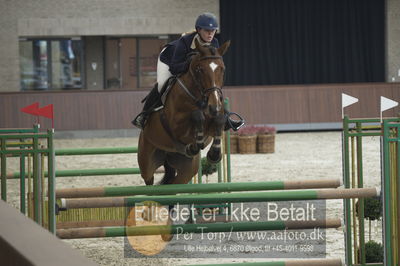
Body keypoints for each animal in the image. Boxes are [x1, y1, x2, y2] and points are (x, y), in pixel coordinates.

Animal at [138, 39, 230, 187]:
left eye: (222, 69)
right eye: (200, 70)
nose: (214, 107)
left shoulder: (214, 121)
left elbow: (220, 120)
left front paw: (214, 154)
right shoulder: (176, 126)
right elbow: (197, 115)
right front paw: (194, 145)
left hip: (187, 171)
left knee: (174, 183)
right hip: (146, 160)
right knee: (149, 179)